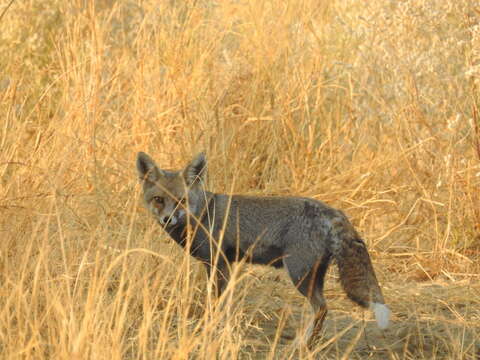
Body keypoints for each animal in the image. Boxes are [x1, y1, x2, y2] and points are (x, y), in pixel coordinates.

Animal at [135, 150, 390, 344]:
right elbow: (223, 303)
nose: (168, 219)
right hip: (312, 276)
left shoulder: (219, 263)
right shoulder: (224, 265)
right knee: (322, 309)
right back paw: (309, 344)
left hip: (298, 274)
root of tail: (333, 211)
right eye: (159, 200)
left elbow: (216, 303)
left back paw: (302, 345)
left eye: (182, 201)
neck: (203, 215)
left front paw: (212, 328)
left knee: (321, 308)